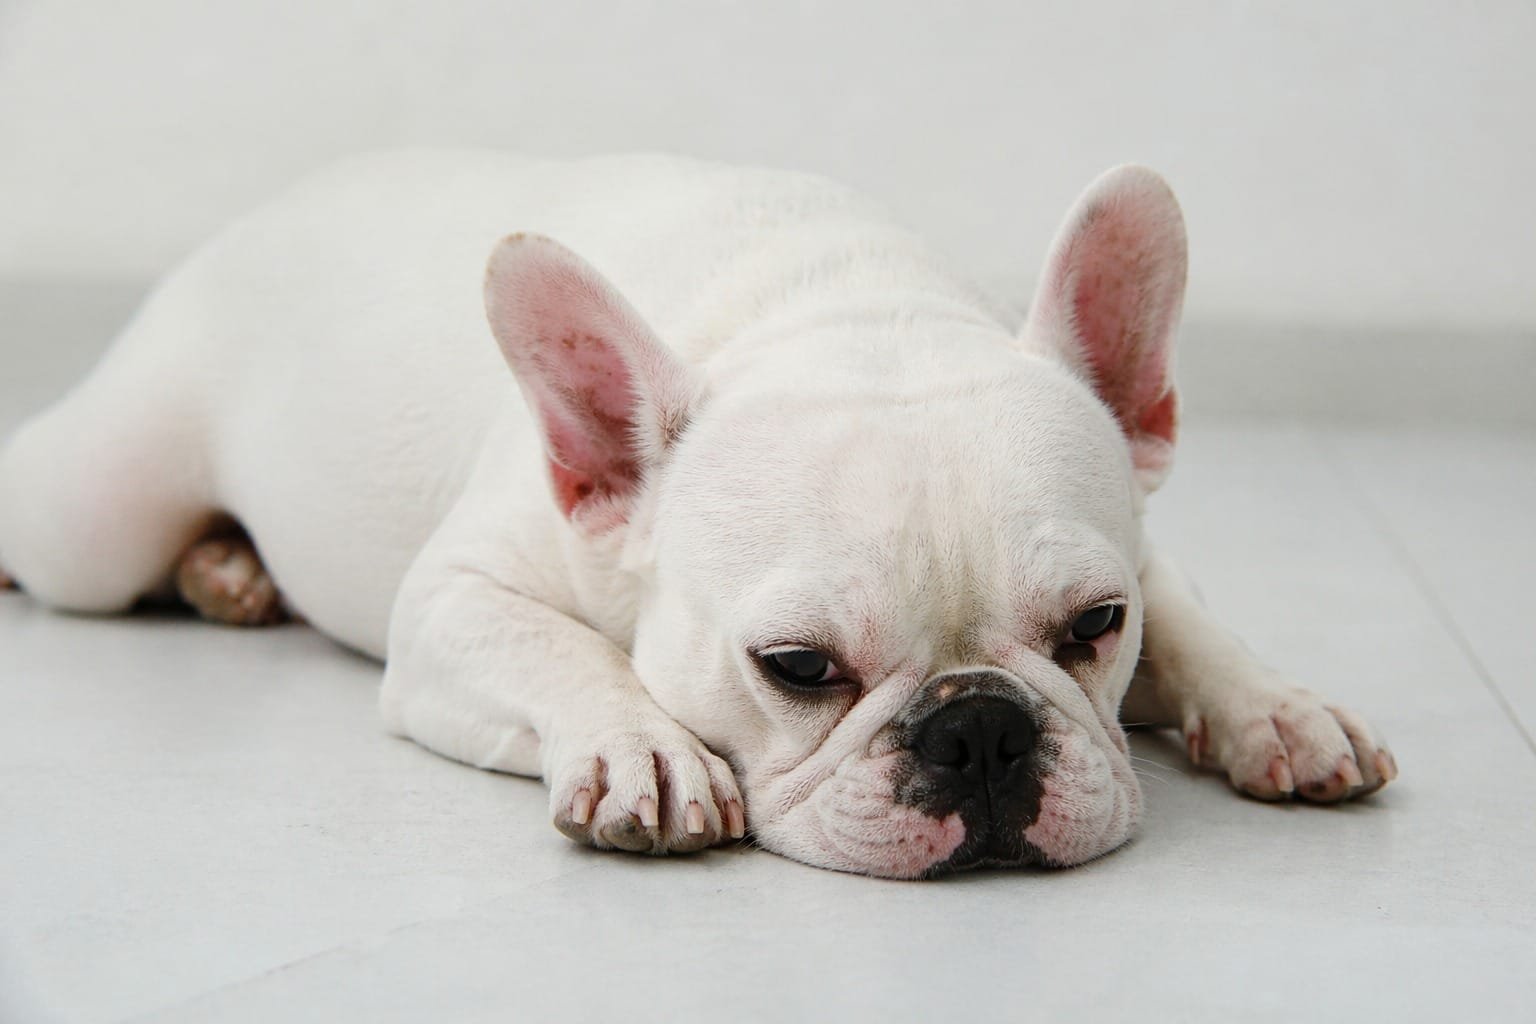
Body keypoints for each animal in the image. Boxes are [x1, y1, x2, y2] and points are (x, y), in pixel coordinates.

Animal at [0, 152, 1395, 877]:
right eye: (798, 668)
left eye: (1096, 625)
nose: (982, 731)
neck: (834, 305)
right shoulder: (453, 602)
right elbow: (558, 647)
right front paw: (647, 747)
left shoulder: (1145, 551)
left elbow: (1196, 622)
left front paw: (1276, 707)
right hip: (94, 515)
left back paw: (228, 572)